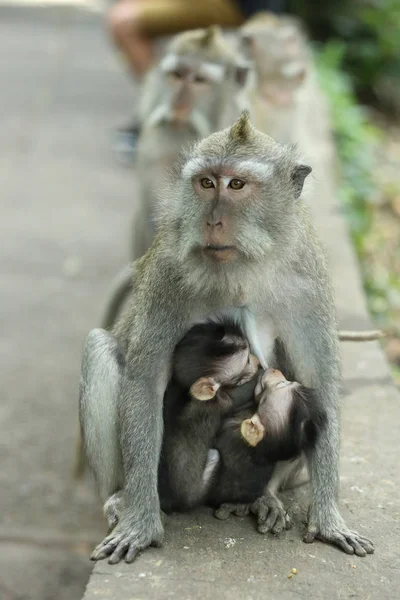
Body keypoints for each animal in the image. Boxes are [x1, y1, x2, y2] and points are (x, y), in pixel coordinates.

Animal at [80, 113, 376, 568]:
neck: (244, 266)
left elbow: (318, 382)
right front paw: (141, 523)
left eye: (236, 185)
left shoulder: (308, 277)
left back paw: (264, 496)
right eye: (206, 183)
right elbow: (144, 381)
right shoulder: (167, 273)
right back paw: (119, 497)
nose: (212, 221)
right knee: (100, 349)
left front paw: (328, 518)